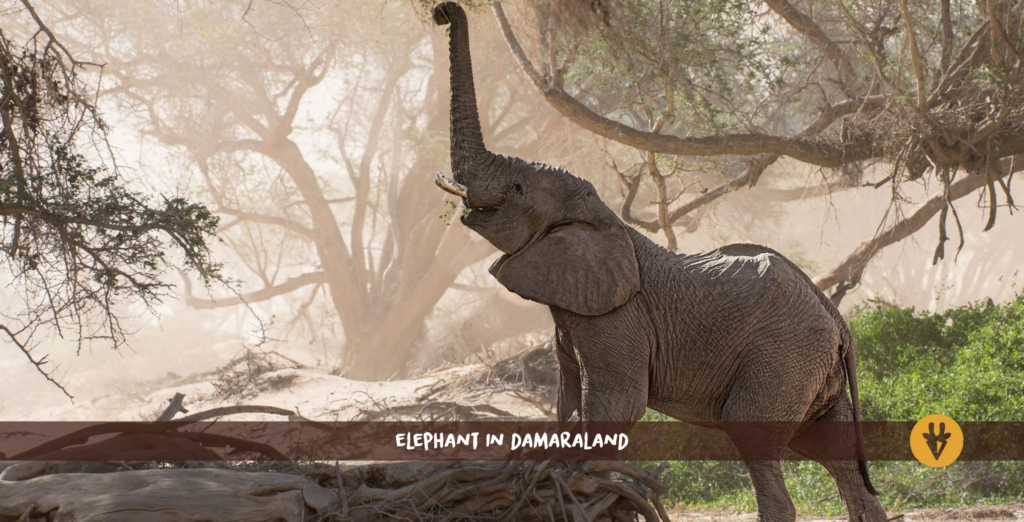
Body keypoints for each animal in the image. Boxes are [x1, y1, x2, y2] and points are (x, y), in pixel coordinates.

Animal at [430, 3, 888, 521]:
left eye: (517, 189)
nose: (442, 12)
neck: (603, 218)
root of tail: (839, 321)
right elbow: (568, 402)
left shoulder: (618, 316)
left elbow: (615, 407)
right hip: (811, 368)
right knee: (836, 455)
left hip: (783, 356)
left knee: (755, 435)